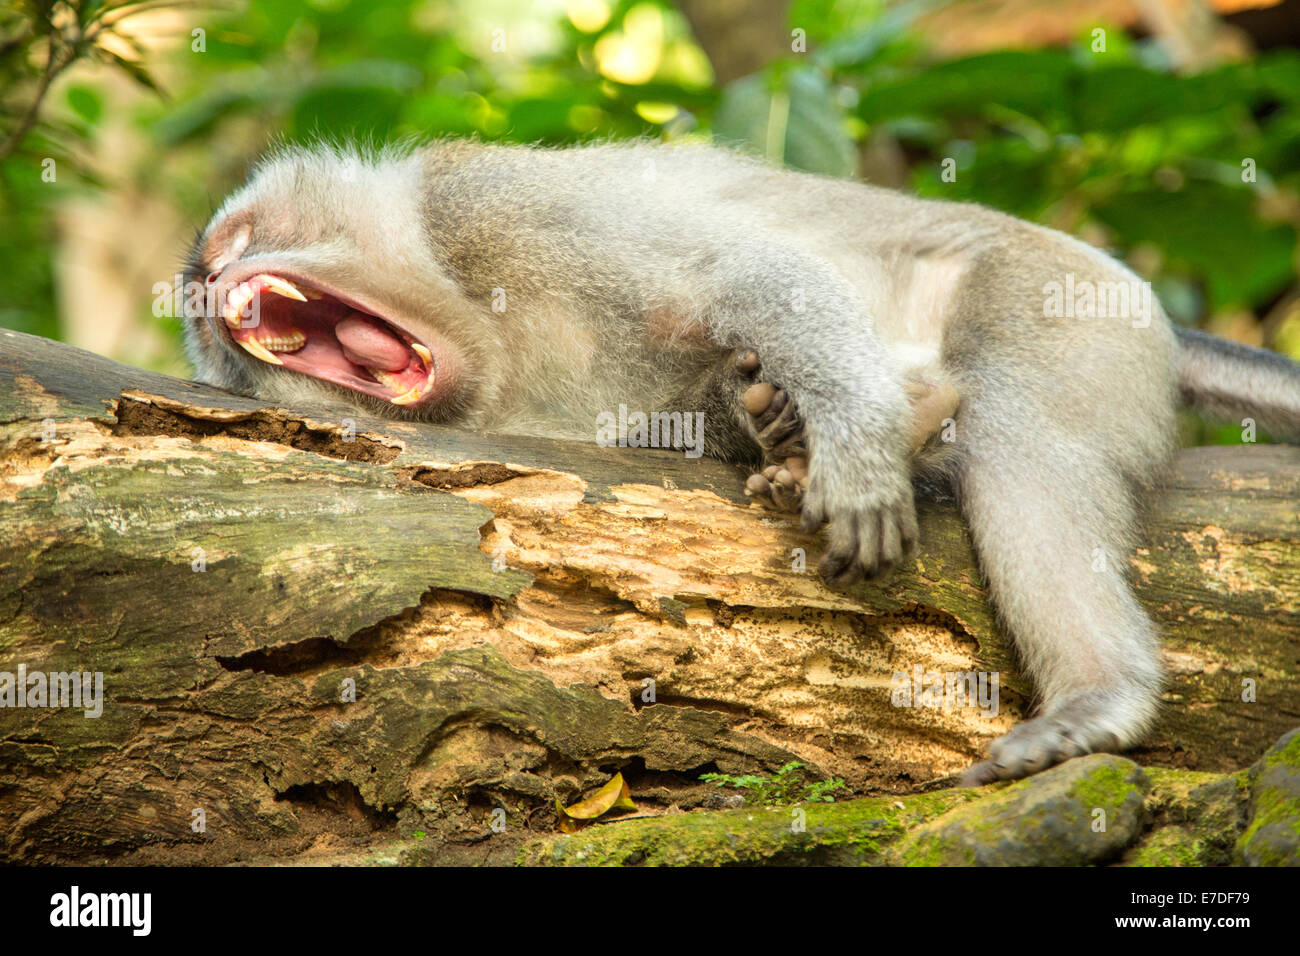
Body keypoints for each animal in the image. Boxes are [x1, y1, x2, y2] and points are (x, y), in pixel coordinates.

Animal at [180, 139, 1300, 785]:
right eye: (203, 293)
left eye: (236, 239)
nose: (209, 285)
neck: (478, 325)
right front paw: (785, 434)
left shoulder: (493, 204)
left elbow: (742, 270)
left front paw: (853, 449)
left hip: (1065, 304)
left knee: (1025, 442)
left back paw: (1095, 692)